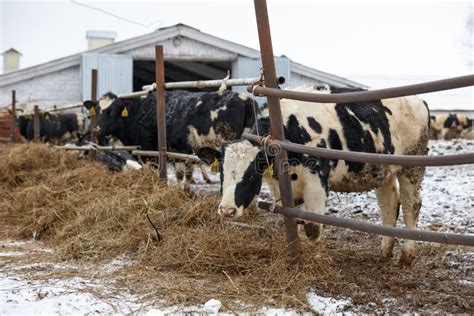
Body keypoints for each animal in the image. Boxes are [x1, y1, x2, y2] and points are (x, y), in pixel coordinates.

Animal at [83, 90, 258, 186]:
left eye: (111, 111)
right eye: (96, 110)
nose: (96, 130)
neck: (138, 113)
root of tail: (244, 98)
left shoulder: (149, 153)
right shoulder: (177, 151)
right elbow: (181, 175)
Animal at [218, 85, 430, 266]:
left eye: (251, 176)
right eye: (222, 174)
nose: (226, 210)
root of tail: (419, 100)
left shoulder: (317, 178)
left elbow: (312, 227)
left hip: (412, 165)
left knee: (411, 204)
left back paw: (406, 256)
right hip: (383, 170)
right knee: (390, 204)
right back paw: (385, 252)